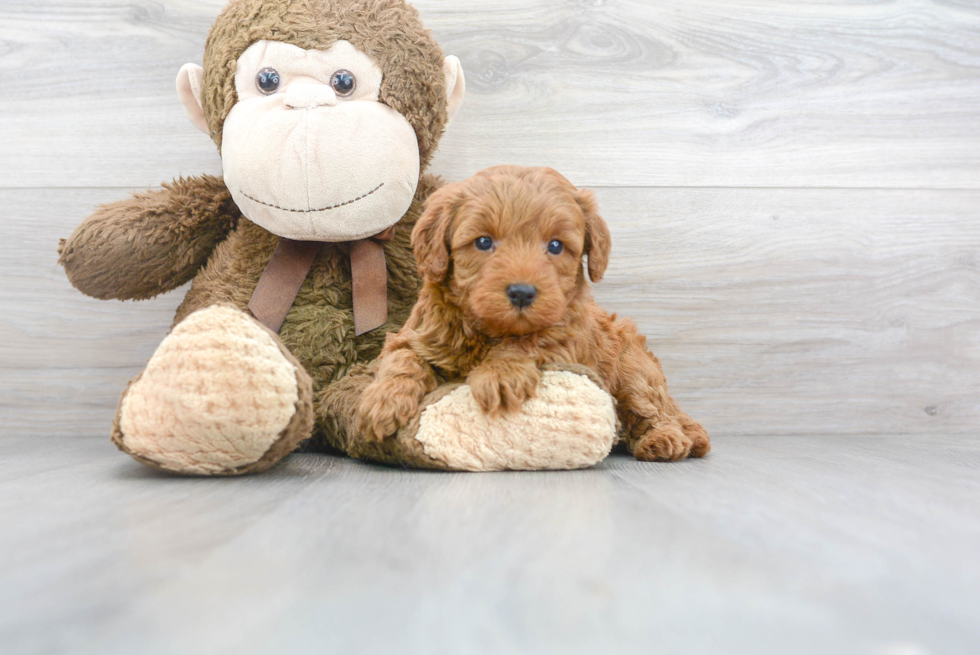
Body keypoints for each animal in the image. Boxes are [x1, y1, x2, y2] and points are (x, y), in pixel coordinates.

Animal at [356, 164, 708, 462]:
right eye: (483, 242)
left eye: (555, 246)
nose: (522, 293)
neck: (490, 330)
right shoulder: (415, 333)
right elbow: (403, 359)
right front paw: (382, 402)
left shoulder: (563, 337)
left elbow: (530, 341)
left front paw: (499, 375)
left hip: (634, 369)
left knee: (652, 411)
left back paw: (663, 440)